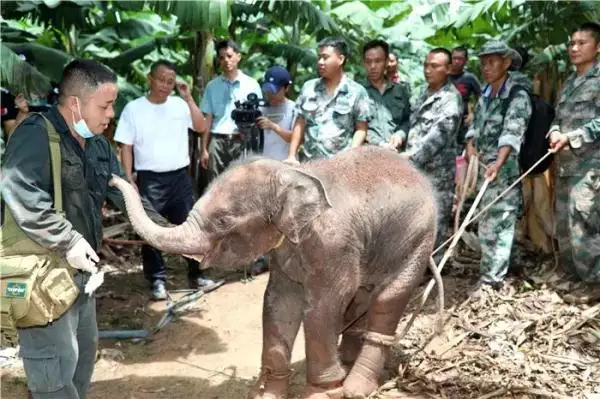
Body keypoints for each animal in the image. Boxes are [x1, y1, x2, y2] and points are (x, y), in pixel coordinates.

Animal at [112, 148, 438, 399]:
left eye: (223, 221)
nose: (114, 178)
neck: (294, 174)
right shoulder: (285, 253)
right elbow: (277, 303)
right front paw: (269, 393)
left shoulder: (334, 245)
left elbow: (322, 308)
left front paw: (323, 392)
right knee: (360, 299)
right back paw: (347, 363)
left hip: (419, 239)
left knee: (387, 300)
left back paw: (355, 387)